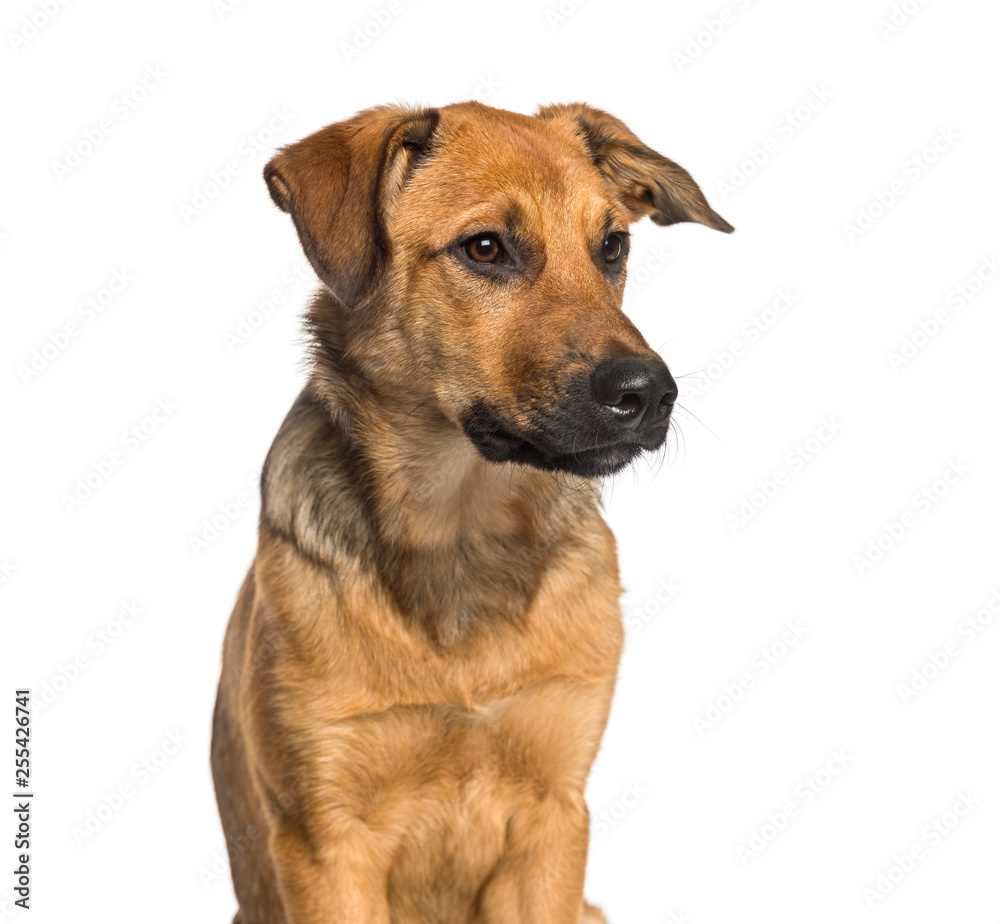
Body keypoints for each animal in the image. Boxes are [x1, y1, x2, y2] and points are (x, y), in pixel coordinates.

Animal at [211, 101, 732, 924]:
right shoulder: (326, 839)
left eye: (612, 246)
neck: (462, 529)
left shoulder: (554, 818)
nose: (650, 393)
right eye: (485, 248)